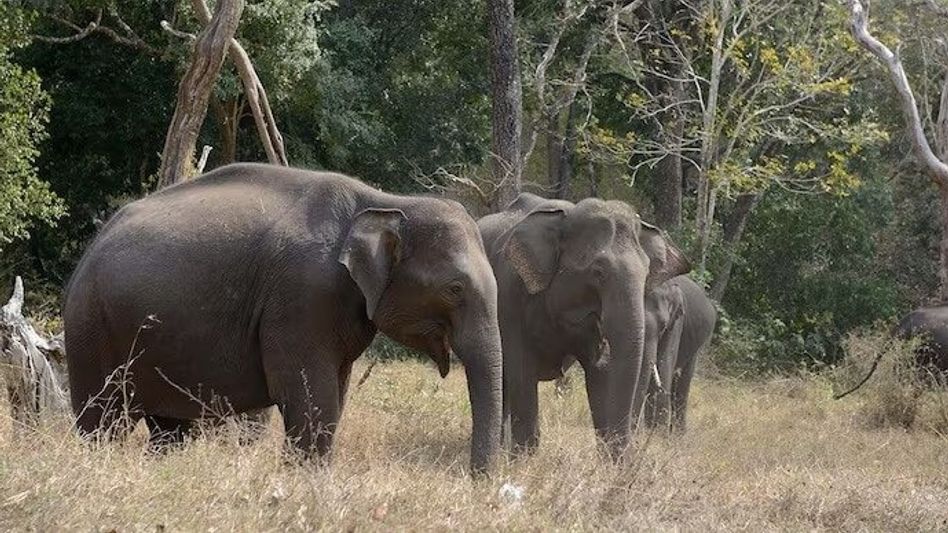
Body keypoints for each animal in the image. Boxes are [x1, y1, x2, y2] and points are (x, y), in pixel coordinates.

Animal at [63, 163, 502, 474]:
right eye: (455, 289)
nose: (477, 480)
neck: (384, 200)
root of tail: (92, 246)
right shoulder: (301, 295)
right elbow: (310, 397)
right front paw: (305, 483)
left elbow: (335, 395)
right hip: (92, 328)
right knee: (104, 419)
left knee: (169, 429)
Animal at [478, 192, 689, 456]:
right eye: (598, 272)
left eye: (647, 273)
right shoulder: (509, 296)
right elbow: (521, 370)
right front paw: (525, 458)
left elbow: (601, 372)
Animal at [630, 275, 716, 432]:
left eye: (663, 326)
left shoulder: (676, 323)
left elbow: (664, 368)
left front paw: (658, 435)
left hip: (694, 349)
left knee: (681, 387)